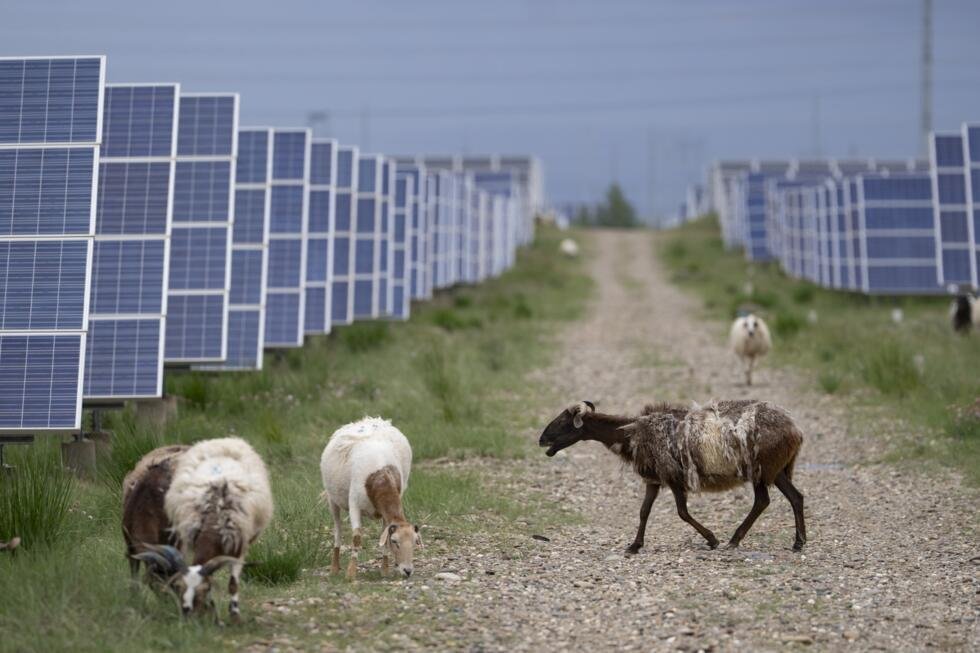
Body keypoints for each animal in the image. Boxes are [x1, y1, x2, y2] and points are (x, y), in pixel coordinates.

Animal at [133, 438, 273, 620]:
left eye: (204, 589)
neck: (214, 521)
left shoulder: (239, 546)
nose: (188, 612)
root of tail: (221, 439)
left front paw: (234, 615)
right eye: (179, 587)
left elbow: (233, 584)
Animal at [320, 417, 421, 580]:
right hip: (332, 499)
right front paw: (351, 573)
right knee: (338, 531)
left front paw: (385, 570)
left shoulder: (386, 514)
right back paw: (334, 568)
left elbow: (383, 538)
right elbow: (356, 538)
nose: (407, 571)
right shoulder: (354, 505)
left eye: (415, 542)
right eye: (395, 541)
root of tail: (368, 419)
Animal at [539, 400, 806, 554]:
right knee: (795, 497)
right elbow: (644, 512)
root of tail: (795, 430)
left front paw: (712, 540)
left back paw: (734, 540)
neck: (630, 433)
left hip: (763, 469)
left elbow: (682, 513)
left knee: (763, 501)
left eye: (562, 422)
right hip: (777, 470)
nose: (541, 440)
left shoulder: (674, 477)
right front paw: (634, 546)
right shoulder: (654, 480)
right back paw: (798, 542)